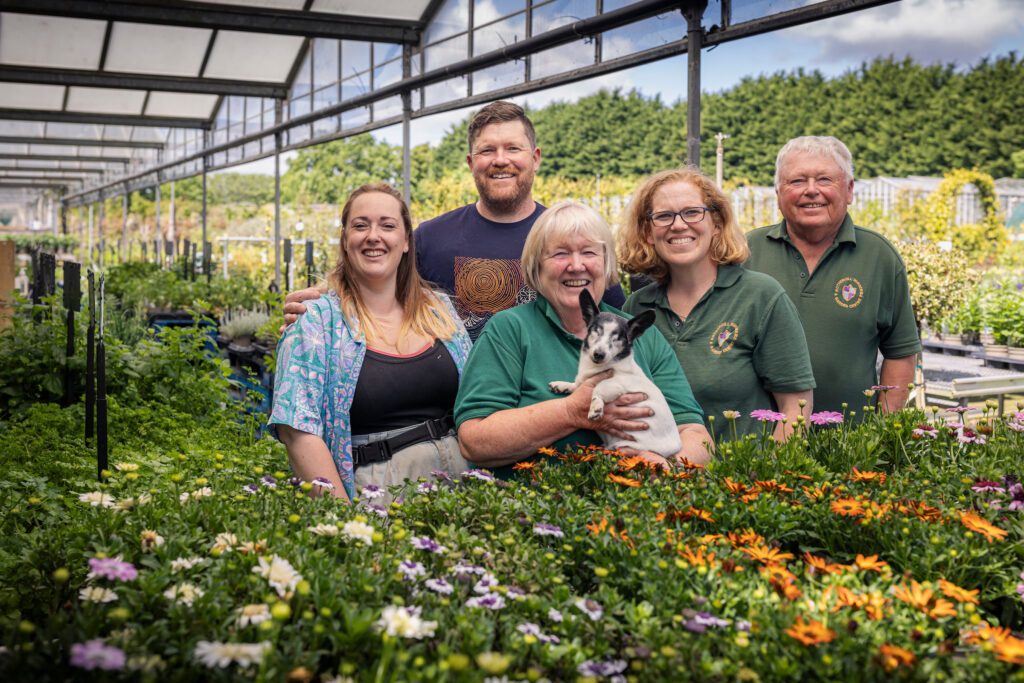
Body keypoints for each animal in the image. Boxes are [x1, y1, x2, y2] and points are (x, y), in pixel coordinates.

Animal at [548, 290, 684, 458]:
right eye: (595, 330)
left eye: (617, 338)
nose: (599, 354)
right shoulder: (583, 380)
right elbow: (576, 384)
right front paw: (562, 385)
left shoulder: (617, 385)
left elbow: (598, 388)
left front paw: (595, 407)